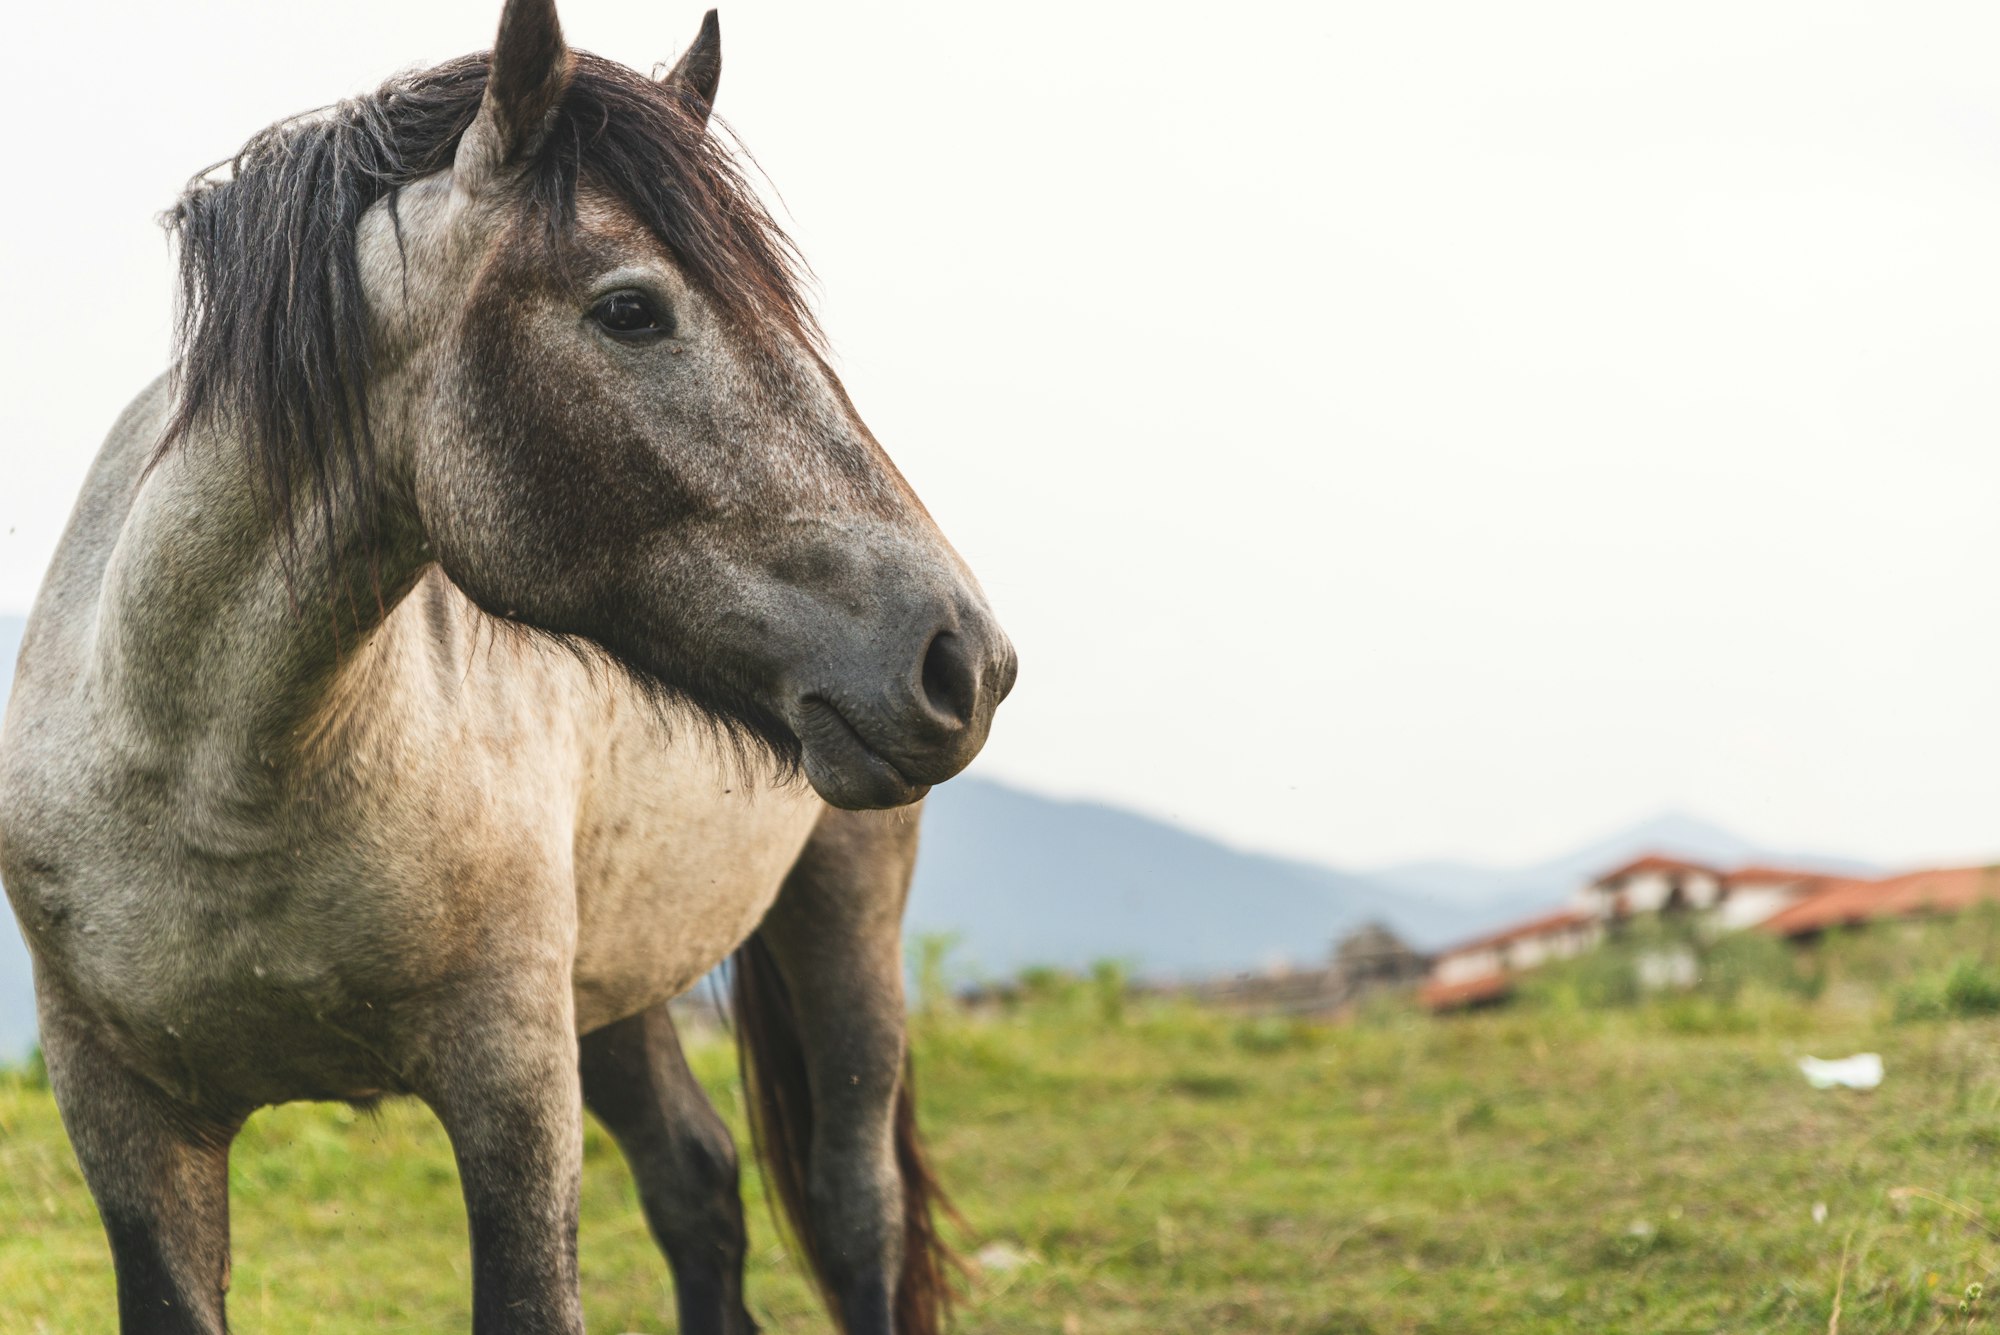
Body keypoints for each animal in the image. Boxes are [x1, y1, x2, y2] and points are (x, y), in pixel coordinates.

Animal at [0, 5, 1008, 1327]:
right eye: (631, 310)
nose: (963, 659)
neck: (211, 778)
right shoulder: (126, 1128)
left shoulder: (511, 1095)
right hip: (615, 977)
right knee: (697, 1178)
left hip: (839, 924)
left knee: (853, 1211)